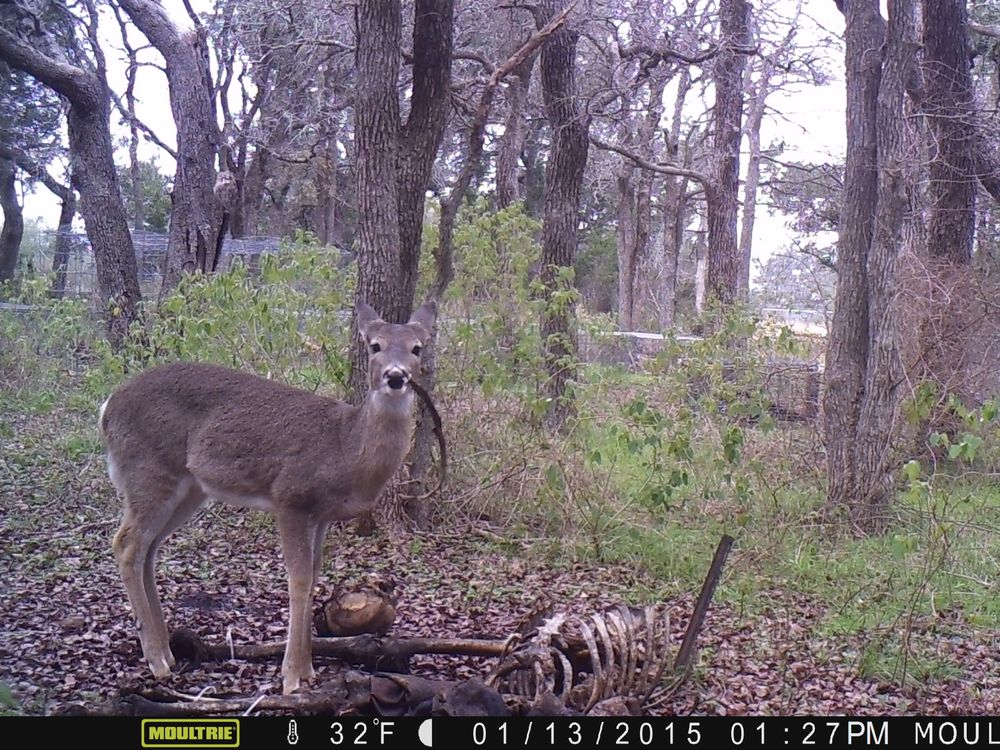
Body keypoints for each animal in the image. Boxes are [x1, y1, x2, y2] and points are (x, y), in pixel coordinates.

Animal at [100, 300, 438, 692]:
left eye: (417, 348)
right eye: (375, 345)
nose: (396, 376)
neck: (345, 449)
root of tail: (106, 408)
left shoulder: (321, 514)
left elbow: (315, 573)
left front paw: (308, 670)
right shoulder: (289, 497)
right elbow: (299, 579)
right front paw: (291, 677)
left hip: (189, 488)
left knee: (148, 549)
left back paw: (167, 652)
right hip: (148, 470)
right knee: (126, 544)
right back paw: (157, 661)